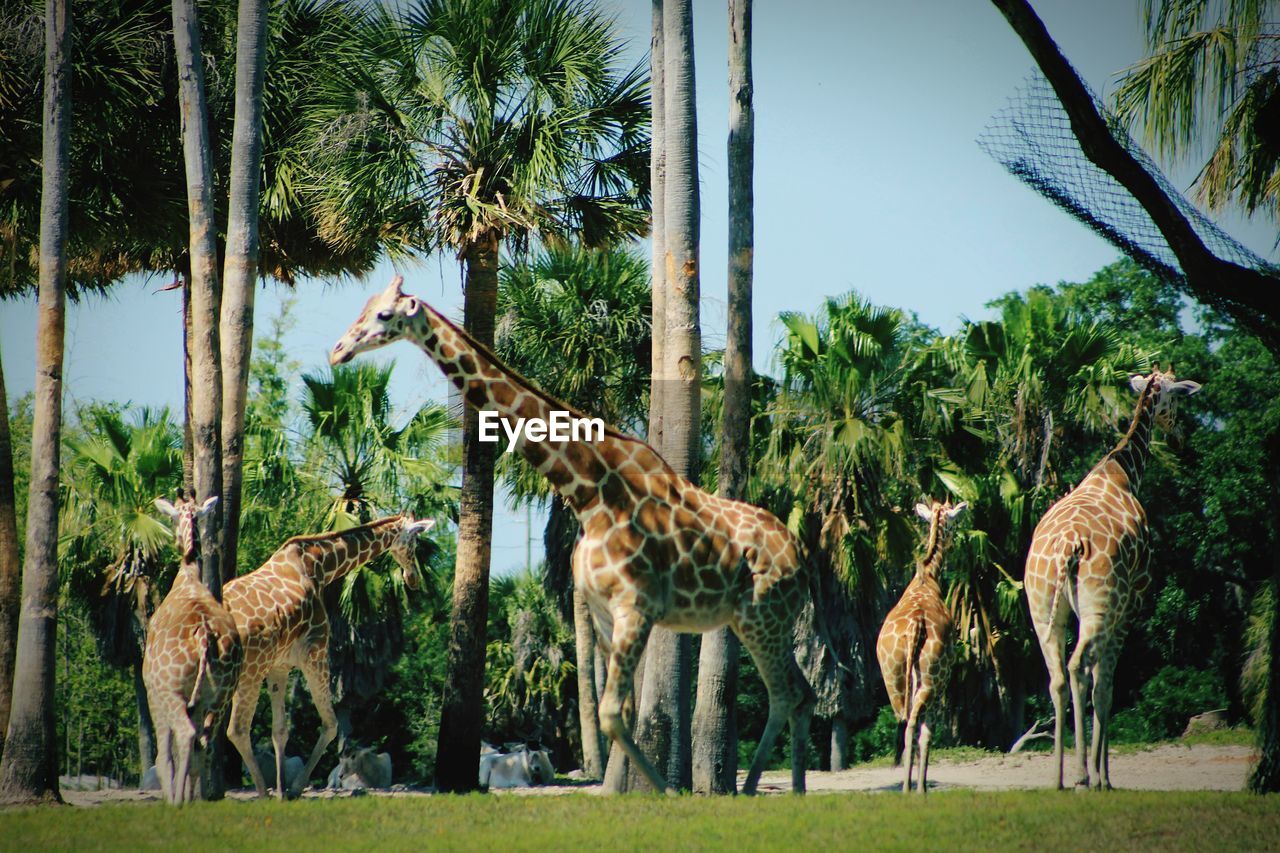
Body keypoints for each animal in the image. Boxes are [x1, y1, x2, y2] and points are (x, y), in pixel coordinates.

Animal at [145, 491, 244, 804]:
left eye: (171, 517)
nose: (176, 542)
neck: (188, 575)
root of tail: (204, 637)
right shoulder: (197, 701)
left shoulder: (153, 690)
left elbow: (164, 756)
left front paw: (172, 798)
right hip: (220, 697)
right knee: (205, 742)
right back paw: (190, 800)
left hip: (173, 692)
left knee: (186, 736)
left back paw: (176, 802)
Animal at [222, 512, 437, 799]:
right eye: (414, 541)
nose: (413, 579)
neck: (320, 567)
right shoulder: (315, 652)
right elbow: (331, 724)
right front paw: (293, 788)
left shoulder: (279, 666)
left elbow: (280, 731)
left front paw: (281, 791)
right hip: (249, 671)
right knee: (236, 729)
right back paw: (261, 794)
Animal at [330, 275, 819, 794]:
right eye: (363, 306)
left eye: (384, 315)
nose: (338, 351)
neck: (589, 494)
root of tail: (801, 557)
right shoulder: (604, 613)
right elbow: (621, 712)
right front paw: (623, 793)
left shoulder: (635, 608)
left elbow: (609, 714)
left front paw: (665, 791)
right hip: (765, 621)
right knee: (803, 693)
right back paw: (794, 789)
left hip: (761, 616)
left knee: (785, 694)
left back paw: (753, 790)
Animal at [875, 494, 962, 794]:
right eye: (954, 520)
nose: (953, 542)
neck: (928, 577)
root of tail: (916, 625)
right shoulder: (943, 684)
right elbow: (928, 733)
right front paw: (921, 786)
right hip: (932, 679)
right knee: (916, 726)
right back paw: (913, 788)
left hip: (894, 679)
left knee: (903, 722)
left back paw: (906, 785)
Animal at [1018, 368, 1198, 788]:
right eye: (1177, 396)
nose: (1180, 436)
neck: (1122, 472)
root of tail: (1067, 547)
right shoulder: (1130, 604)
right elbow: (1107, 684)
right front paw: (1104, 778)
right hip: (1098, 606)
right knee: (1079, 667)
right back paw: (1083, 776)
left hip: (1043, 609)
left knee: (1056, 676)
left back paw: (1058, 778)